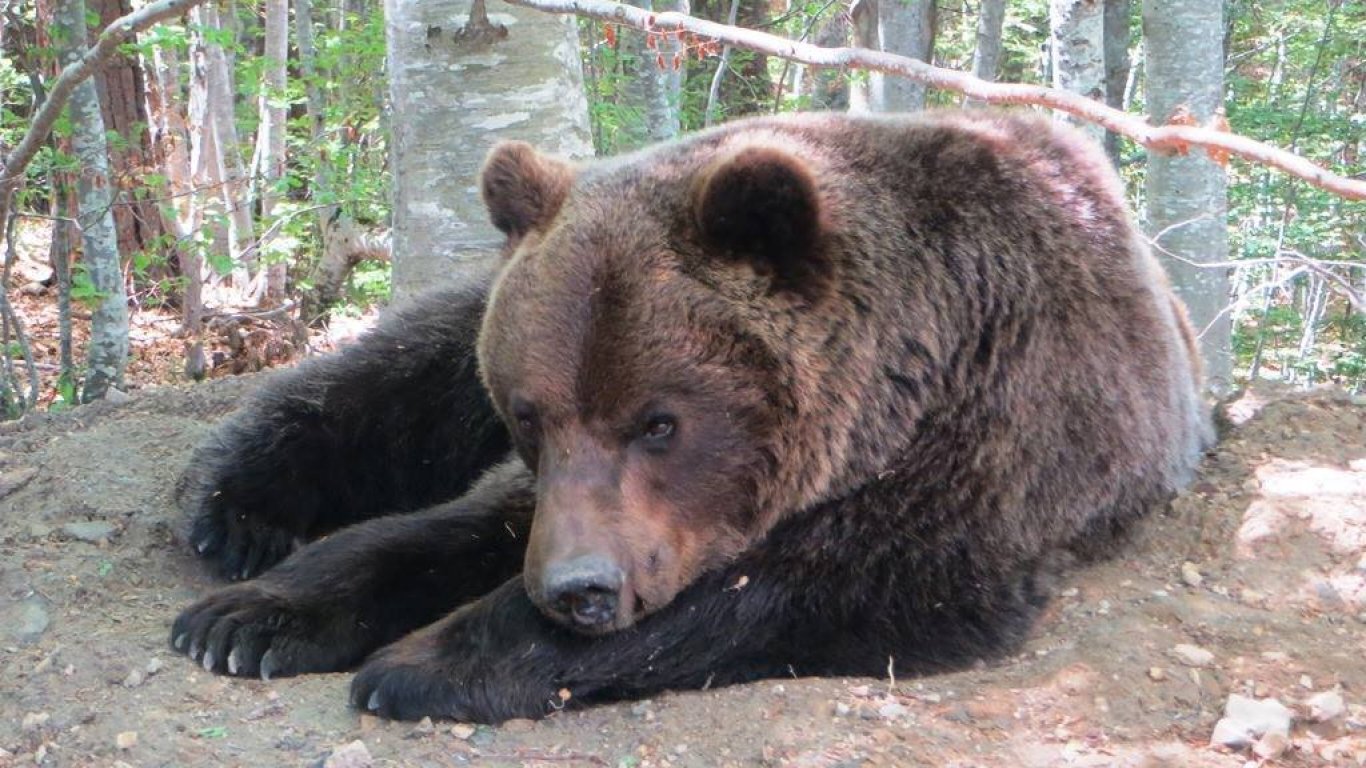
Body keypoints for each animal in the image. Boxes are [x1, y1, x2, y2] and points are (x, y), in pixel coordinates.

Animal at [173, 110, 1218, 721]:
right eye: (528, 415)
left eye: (660, 422)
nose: (578, 590)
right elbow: (459, 520)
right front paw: (244, 619)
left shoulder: (985, 445)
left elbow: (802, 586)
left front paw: (420, 660)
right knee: (401, 368)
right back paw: (234, 509)